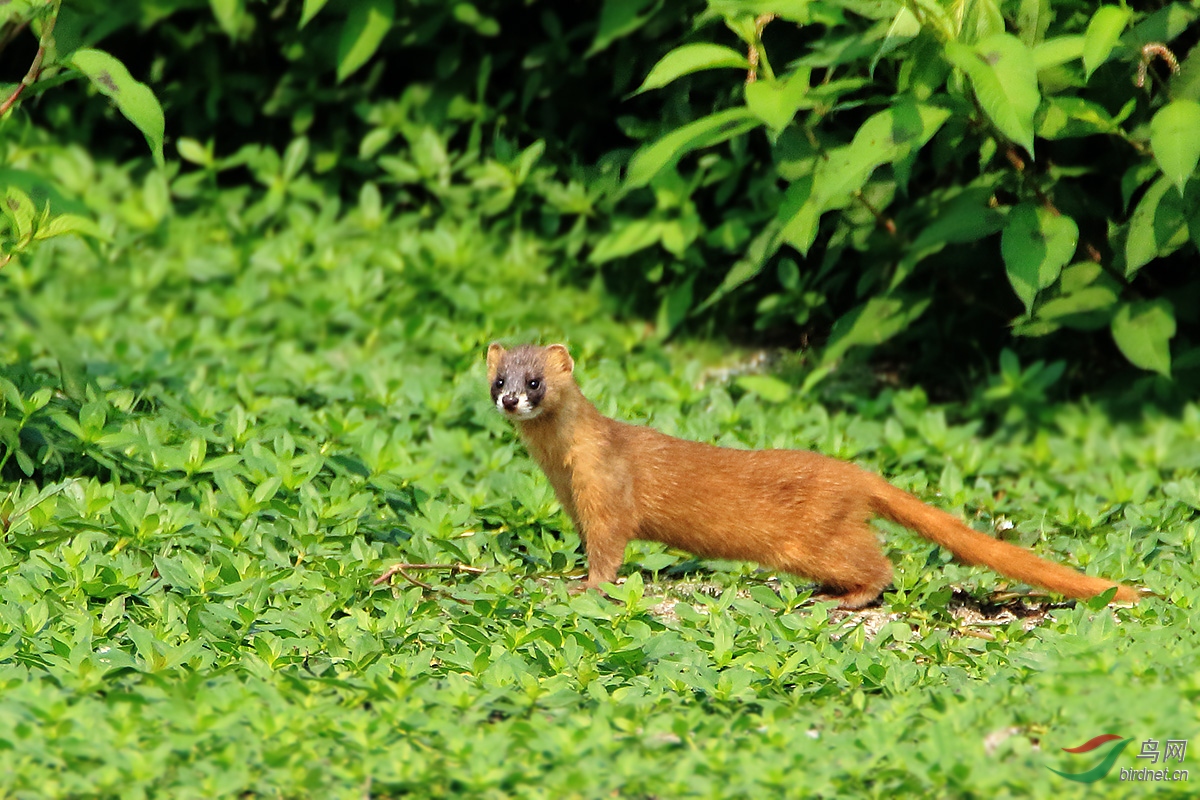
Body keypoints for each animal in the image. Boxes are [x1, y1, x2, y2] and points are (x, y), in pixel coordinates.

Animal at [482, 340, 1137, 609]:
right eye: (497, 379)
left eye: (536, 380)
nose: (511, 399)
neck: (563, 470)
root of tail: (856, 474)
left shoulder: (607, 490)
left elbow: (609, 548)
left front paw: (585, 586)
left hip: (813, 539)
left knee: (878, 565)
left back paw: (845, 598)